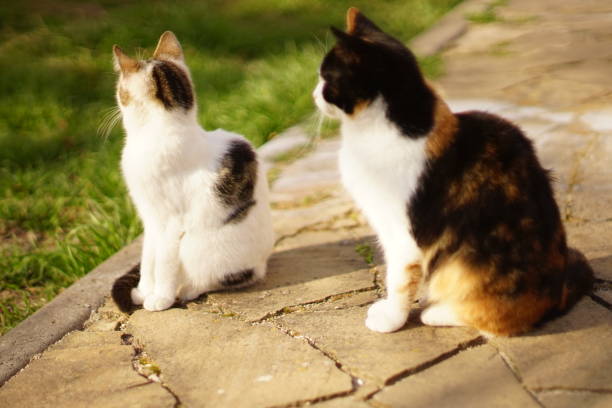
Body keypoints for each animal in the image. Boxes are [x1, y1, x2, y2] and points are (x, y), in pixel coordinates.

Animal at [113, 31, 274, 312]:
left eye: (120, 90)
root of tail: (262, 263)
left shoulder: (170, 222)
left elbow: (163, 262)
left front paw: (160, 298)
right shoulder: (150, 220)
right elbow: (148, 260)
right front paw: (143, 291)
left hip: (195, 245)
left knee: (219, 278)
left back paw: (187, 290)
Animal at [314, 7, 592, 336]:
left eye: (326, 78)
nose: (313, 94)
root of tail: (557, 297)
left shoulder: (402, 234)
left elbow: (398, 280)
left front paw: (390, 319)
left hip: (465, 266)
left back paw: (436, 312)